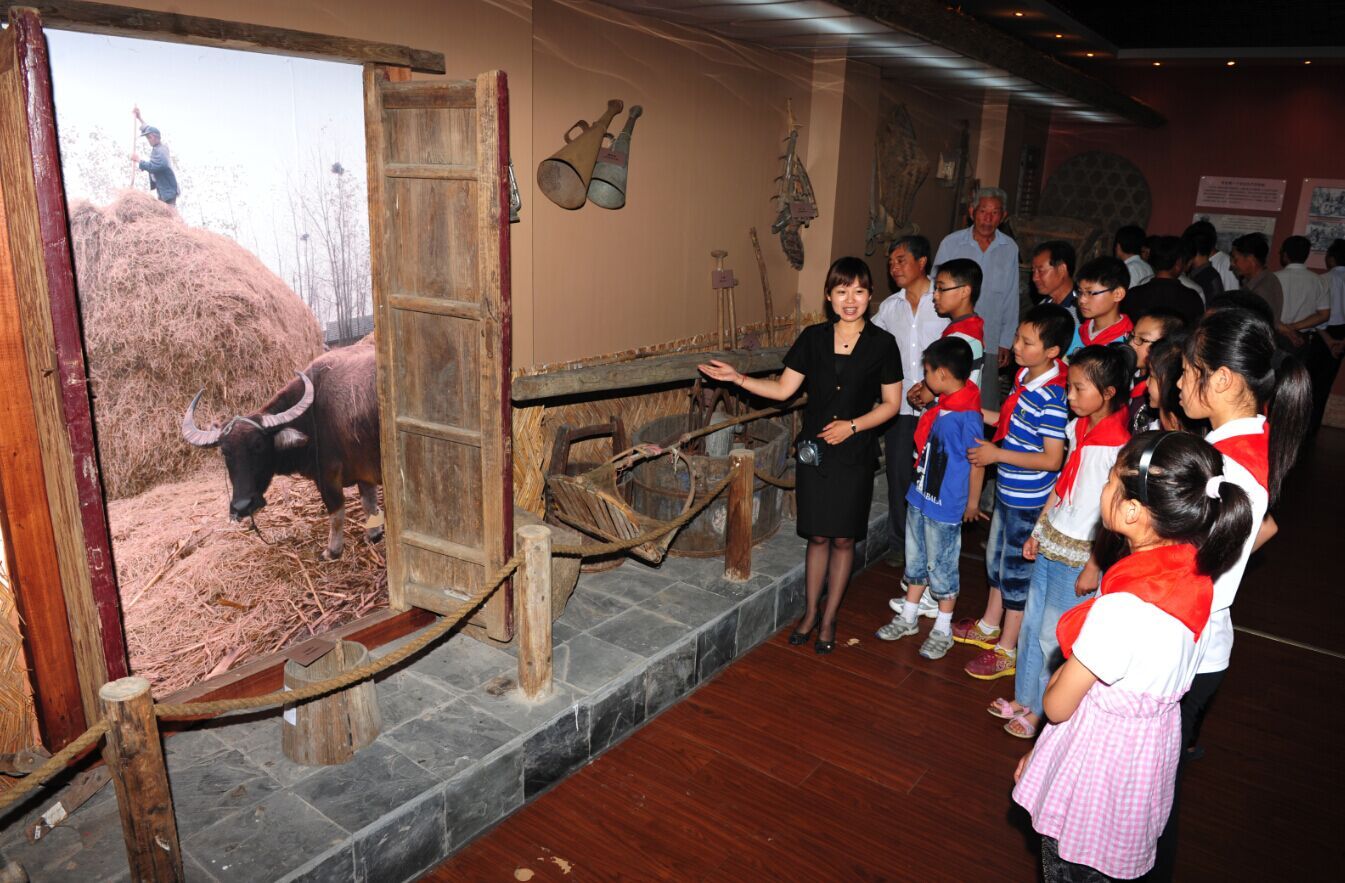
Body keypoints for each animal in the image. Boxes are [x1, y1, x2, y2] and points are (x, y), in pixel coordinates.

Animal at [181, 342, 381, 559]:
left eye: (258, 445)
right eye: (225, 452)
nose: (242, 506)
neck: (313, 416)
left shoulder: (328, 478)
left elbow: (336, 513)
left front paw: (332, 551)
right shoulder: (363, 471)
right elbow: (368, 503)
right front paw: (374, 535)